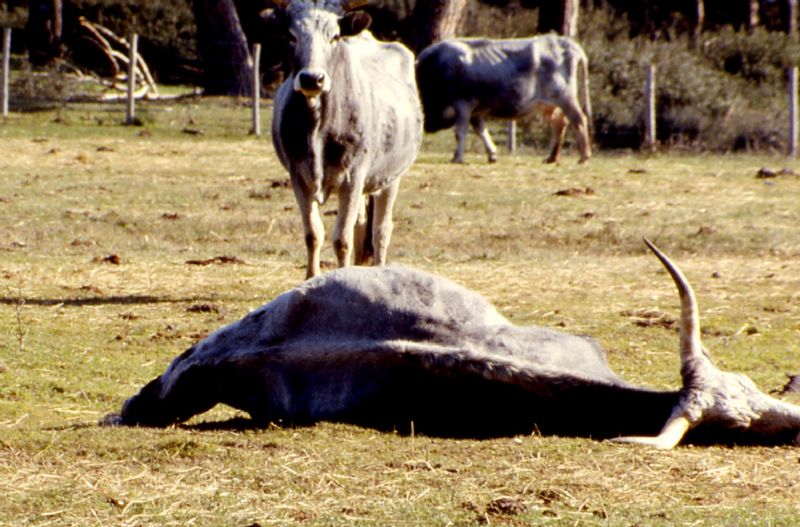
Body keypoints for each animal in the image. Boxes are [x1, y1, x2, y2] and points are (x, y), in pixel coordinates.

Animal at [268, 0, 422, 280]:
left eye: (335, 36)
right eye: (291, 36)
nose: (312, 78)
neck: (318, 127)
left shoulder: (353, 177)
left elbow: (342, 239)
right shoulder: (298, 177)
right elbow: (313, 234)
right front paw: (311, 279)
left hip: (391, 177)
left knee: (381, 229)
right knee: (362, 226)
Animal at [416, 34, 592, 164]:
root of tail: (567, 43)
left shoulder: (463, 104)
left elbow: (460, 131)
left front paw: (457, 158)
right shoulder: (475, 111)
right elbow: (481, 130)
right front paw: (492, 154)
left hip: (566, 98)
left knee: (579, 120)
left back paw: (584, 156)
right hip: (548, 105)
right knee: (560, 123)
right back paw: (551, 157)